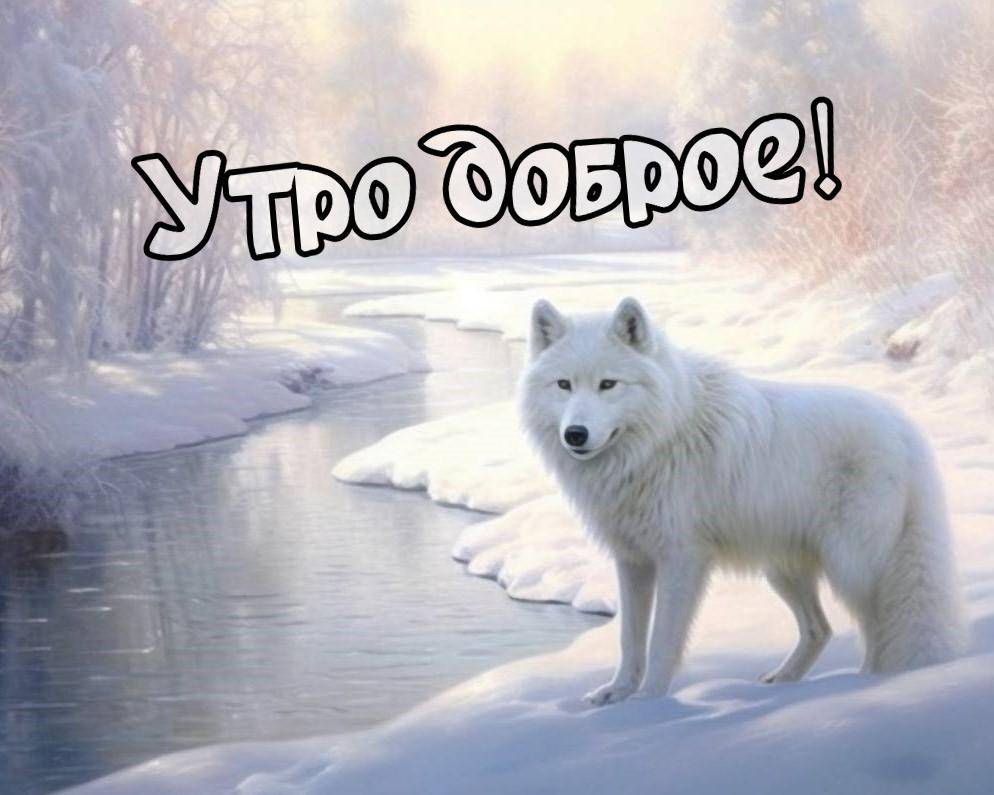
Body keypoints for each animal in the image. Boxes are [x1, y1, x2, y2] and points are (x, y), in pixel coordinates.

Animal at [520, 297, 966, 705]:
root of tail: (907, 430)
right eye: (564, 385)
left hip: (852, 566)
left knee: (877, 626)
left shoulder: (682, 559)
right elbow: (630, 639)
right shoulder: (633, 560)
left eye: (608, 384)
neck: (661, 437)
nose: (575, 434)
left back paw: (870, 684)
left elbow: (663, 640)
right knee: (820, 629)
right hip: (783, 569)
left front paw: (649, 706)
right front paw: (617, 695)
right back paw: (784, 681)